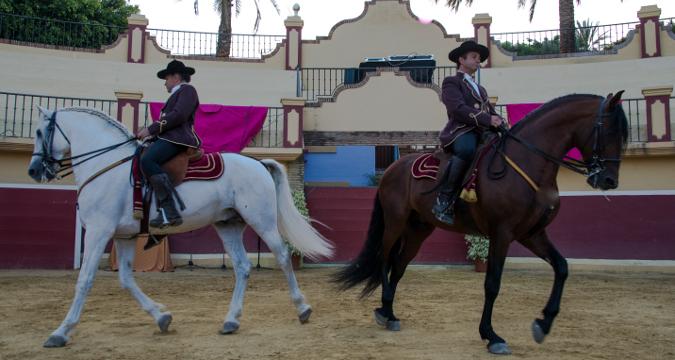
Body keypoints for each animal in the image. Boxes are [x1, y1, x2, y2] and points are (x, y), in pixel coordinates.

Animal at [27, 106, 334, 346]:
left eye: (41, 132)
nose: (33, 170)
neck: (107, 165)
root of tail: (257, 163)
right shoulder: (124, 237)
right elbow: (126, 279)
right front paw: (162, 317)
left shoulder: (98, 231)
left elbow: (85, 280)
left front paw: (60, 332)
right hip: (228, 224)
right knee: (242, 266)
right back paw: (231, 321)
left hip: (262, 220)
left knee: (282, 256)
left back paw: (302, 308)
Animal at [336, 92, 632, 354]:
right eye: (609, 131)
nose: (609, 180)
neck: (529, 163)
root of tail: (392, 169)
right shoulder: (501, 233)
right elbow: (492, 283)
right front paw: (491, 336)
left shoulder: (531, 233)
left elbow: (561, 267)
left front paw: (543, 324)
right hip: (395, 222)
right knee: (385, 257)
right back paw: (384, 309)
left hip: (419, 230)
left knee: (398, 266)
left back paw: (388, 312)